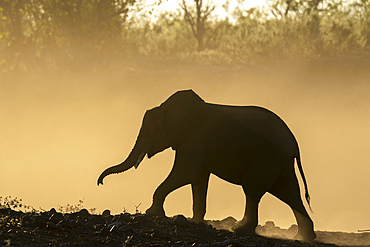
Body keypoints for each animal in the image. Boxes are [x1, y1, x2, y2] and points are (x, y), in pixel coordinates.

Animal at [97, 89, 316, 241]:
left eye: (149, 133)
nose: (100, 183)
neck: (168, 107)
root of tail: (293, 141)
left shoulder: (194, 138)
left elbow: (186, 173)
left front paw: (152, 213)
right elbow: (198, 179)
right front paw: (195, 222)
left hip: (267, 157)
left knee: (253, 190)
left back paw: (240, 229)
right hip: (279, 162)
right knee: (290, 193)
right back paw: (304, 237)